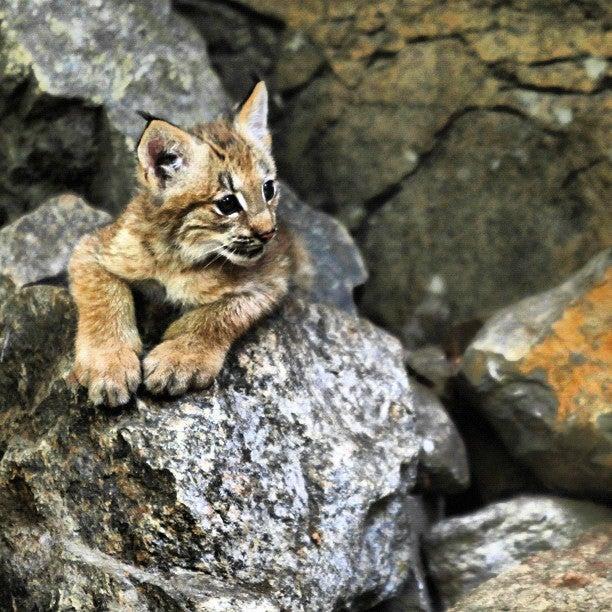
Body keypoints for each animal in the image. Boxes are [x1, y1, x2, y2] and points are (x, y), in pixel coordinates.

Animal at [69, 81, 298, 406]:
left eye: (268, 189)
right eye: (227, 204)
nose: (268, 232)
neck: (179, 255)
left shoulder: (273, 276)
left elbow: (223, 312)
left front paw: (180, 358)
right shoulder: (92, 247)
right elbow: (104, 296)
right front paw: (108, 364)